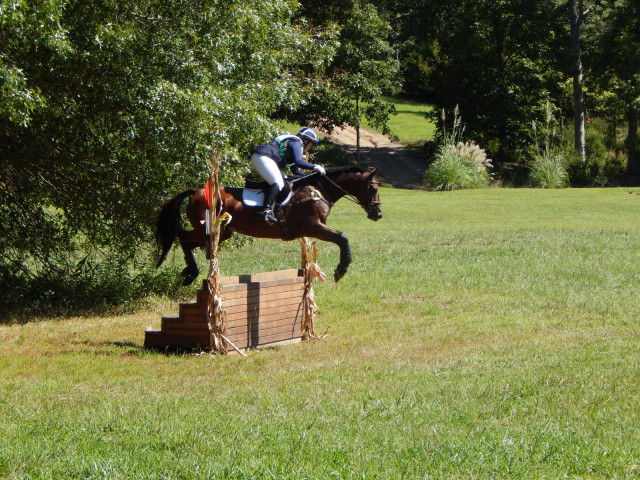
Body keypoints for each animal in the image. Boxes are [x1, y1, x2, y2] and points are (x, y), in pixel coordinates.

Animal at [156, 166, 380, 284]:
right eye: (372, 188)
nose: (378, 213)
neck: (318, 190)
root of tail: (196, 191)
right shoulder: (312, 227)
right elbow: (342, 237)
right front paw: (341, 269)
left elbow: (340, 238)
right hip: (211, 228)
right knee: (183, 237)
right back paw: (191, 272)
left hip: (221, 232)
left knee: (191, 242)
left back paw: (188, 271)